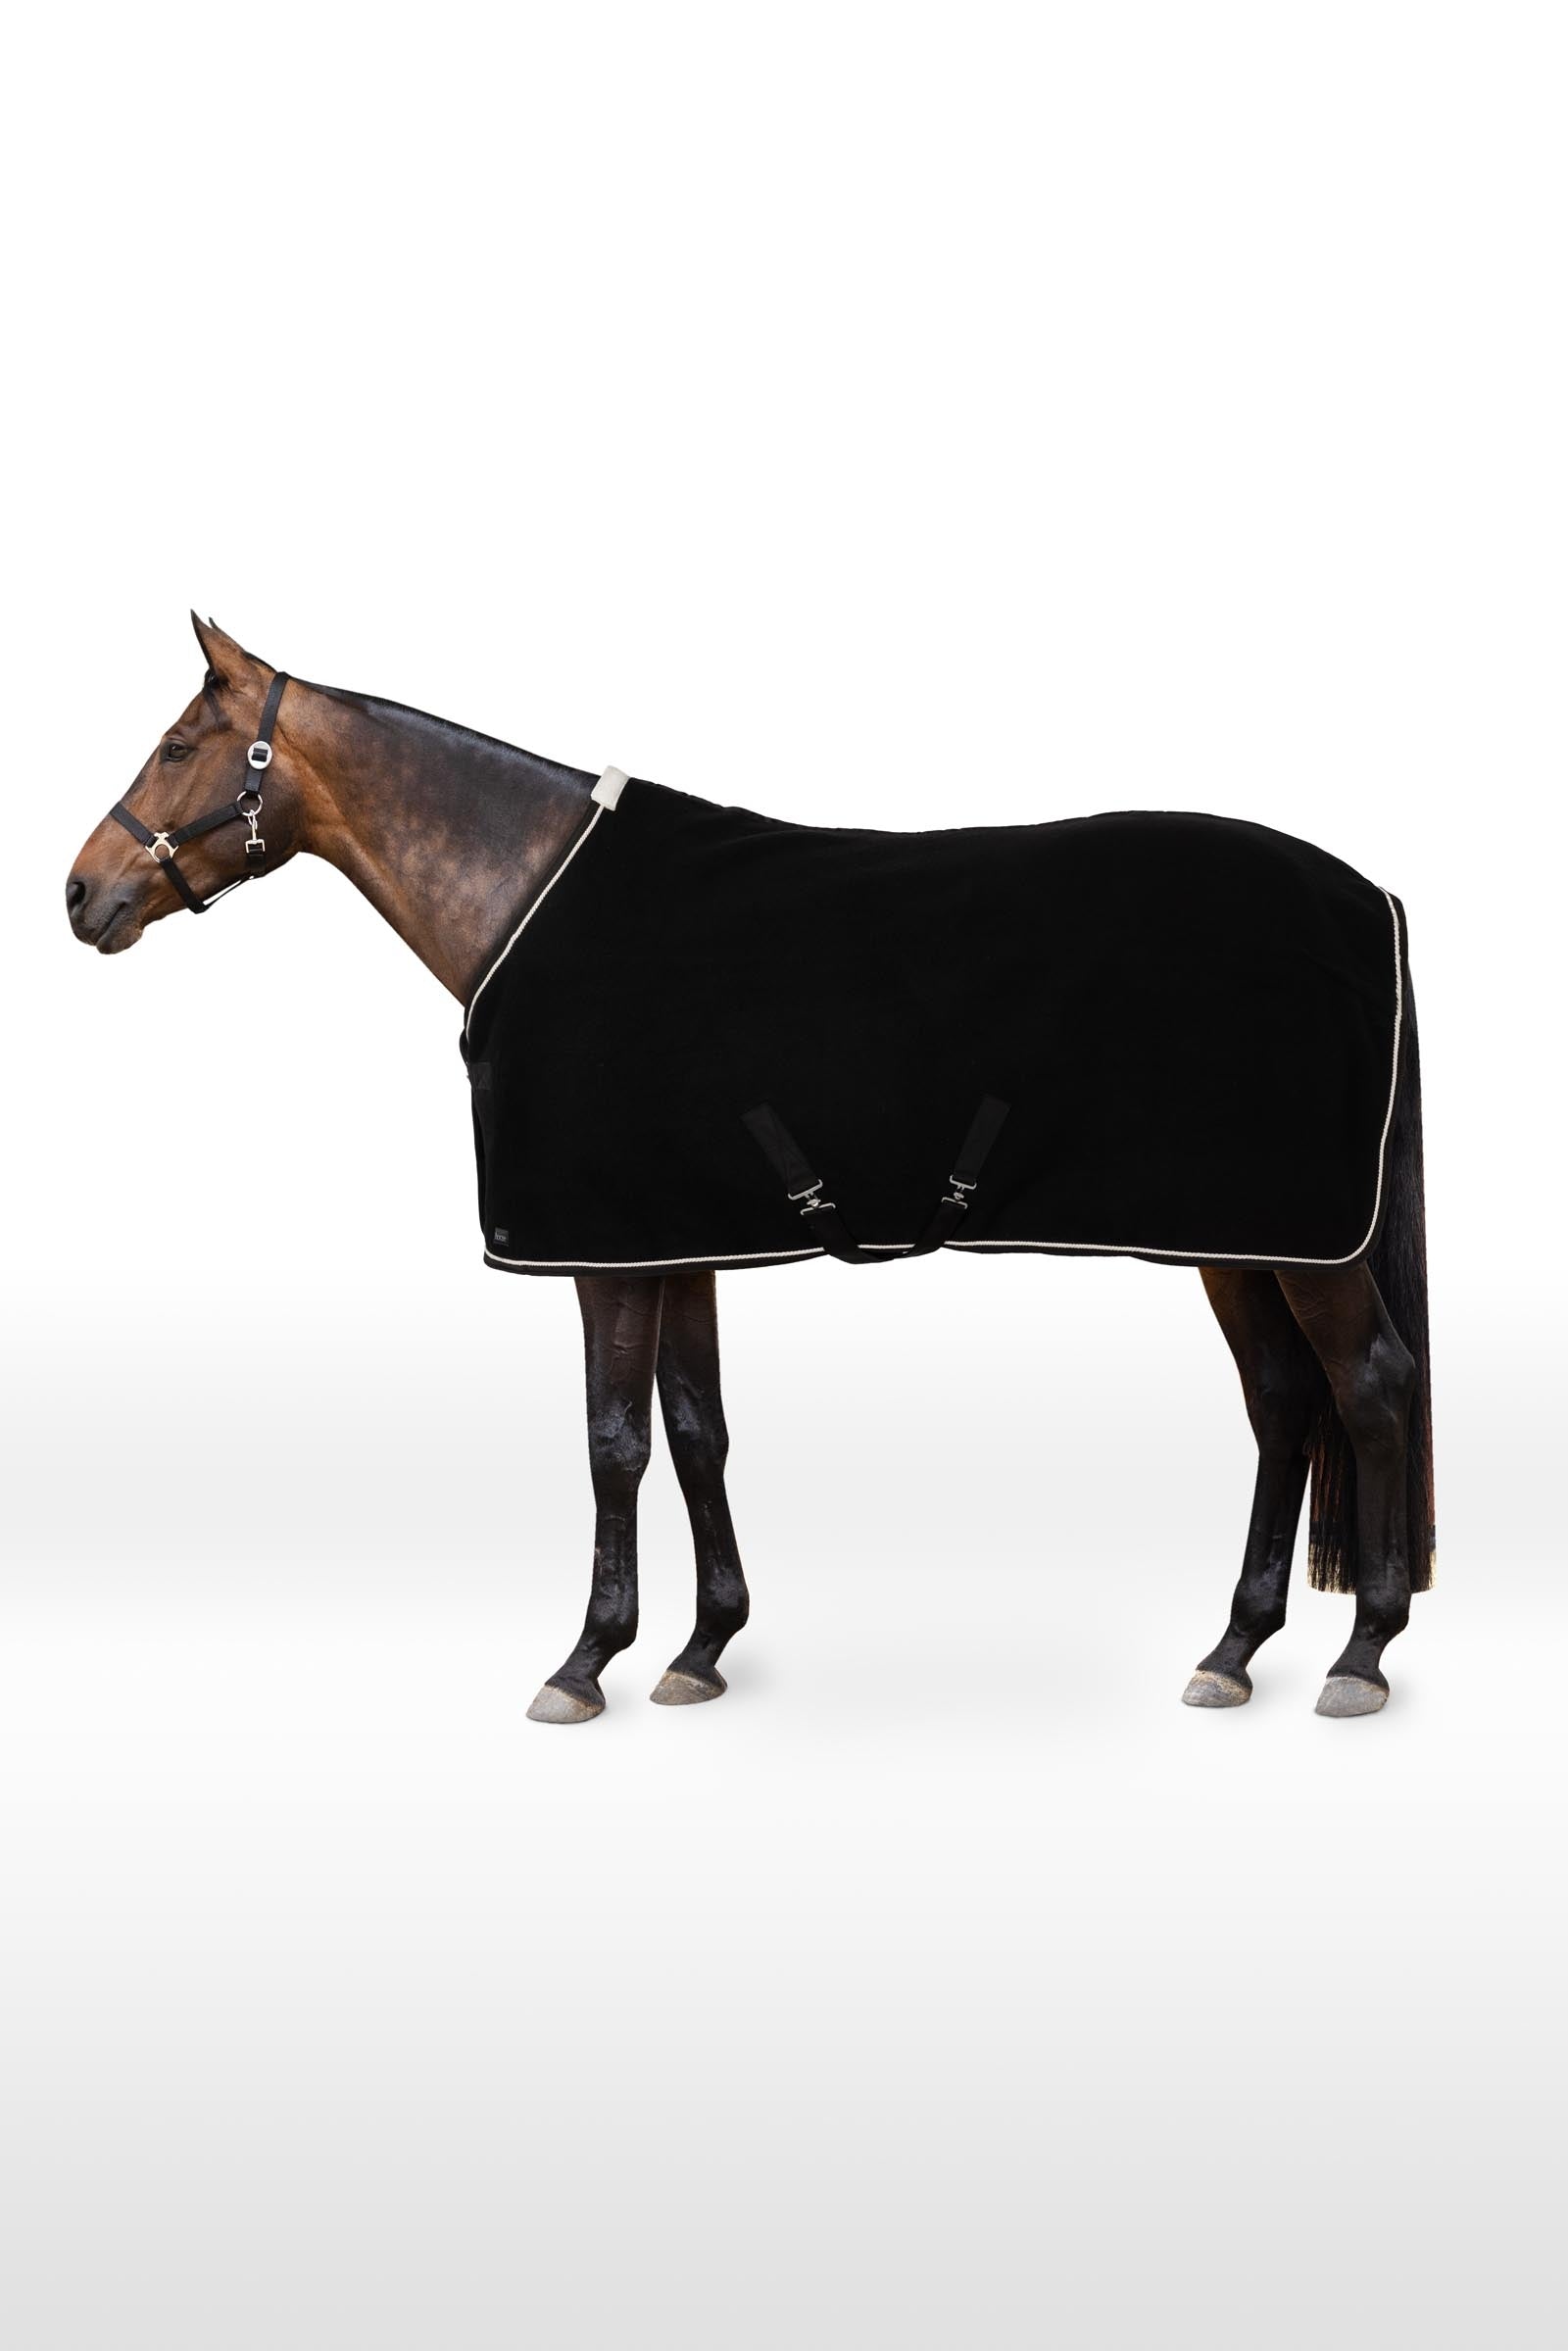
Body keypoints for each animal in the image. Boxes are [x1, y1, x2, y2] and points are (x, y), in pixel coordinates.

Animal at [65, 616, 1435, 1724]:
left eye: (179, 747)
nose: (81, 894)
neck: (527, 893)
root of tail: (1367, 896)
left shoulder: (602, 1250)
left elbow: (613, 1438)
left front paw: (586, 1662)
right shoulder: (676, 1236)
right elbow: (696, 1427)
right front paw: (700, 1647)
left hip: (1302, 1240)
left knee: (1368, 1386)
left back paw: (1361, 1653)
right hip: (1238, 1235)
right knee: (1282, 1401)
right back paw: (1234, 1647)